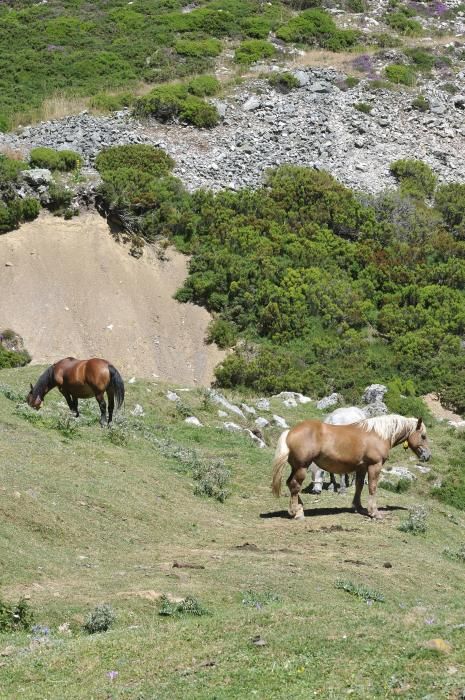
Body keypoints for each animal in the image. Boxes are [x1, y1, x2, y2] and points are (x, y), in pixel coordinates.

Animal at [270, 416, 430, 520]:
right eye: (423, 436)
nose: (427, 456)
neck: (378, 434)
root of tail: (289, 432)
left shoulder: (361, 467)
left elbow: (359, 486)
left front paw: (358, 507)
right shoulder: (374, 465)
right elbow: (372, 487)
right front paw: (375, 513)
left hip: (296, 467)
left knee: (290, 484)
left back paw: (299, 508)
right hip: (302, 467)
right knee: (295, 485)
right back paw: (297, 513)